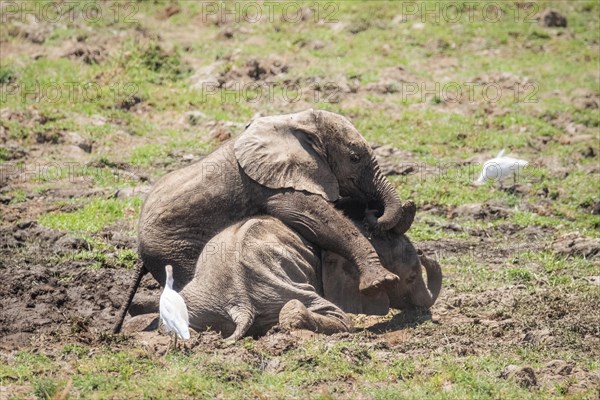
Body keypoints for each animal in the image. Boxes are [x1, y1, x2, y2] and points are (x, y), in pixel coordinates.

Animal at [137, 108, 408, 296]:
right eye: (354, 158)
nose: (375, 213)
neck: (295, 122)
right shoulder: (273, 183)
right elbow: (315, 219)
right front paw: (382, 282)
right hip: (171, 250)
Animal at [178, 200, 440, 340]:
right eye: (411, 277)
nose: (425, 253)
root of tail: (240, 306)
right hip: (281, 289)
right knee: (328, 315)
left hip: (198, 300)